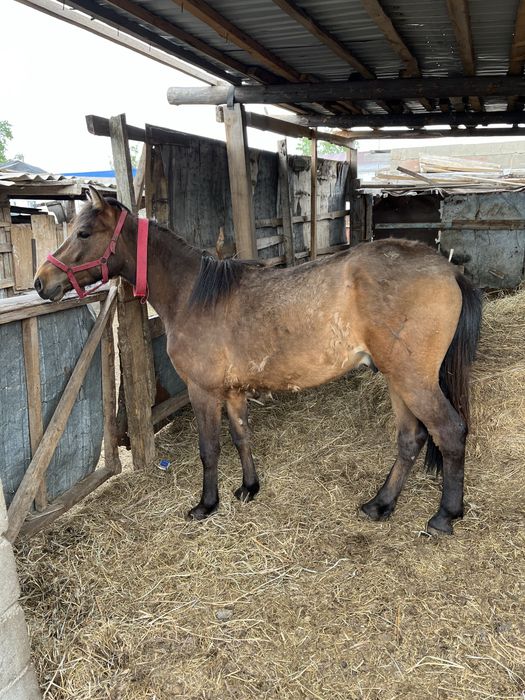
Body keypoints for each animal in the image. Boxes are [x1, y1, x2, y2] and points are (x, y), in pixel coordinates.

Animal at [34, 187, 481, 536]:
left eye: (83, 232)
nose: (41, 282)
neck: (194, 294)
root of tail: (448, 270)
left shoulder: (203, 390)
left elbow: (209, 448)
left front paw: (206, 504)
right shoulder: (233, 391)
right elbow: (240, 436)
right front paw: (249, 488)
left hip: (413, 380)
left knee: (450, 431)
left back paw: (444, 516)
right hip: (397, 379)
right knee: (411, 439)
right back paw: (381, 504)